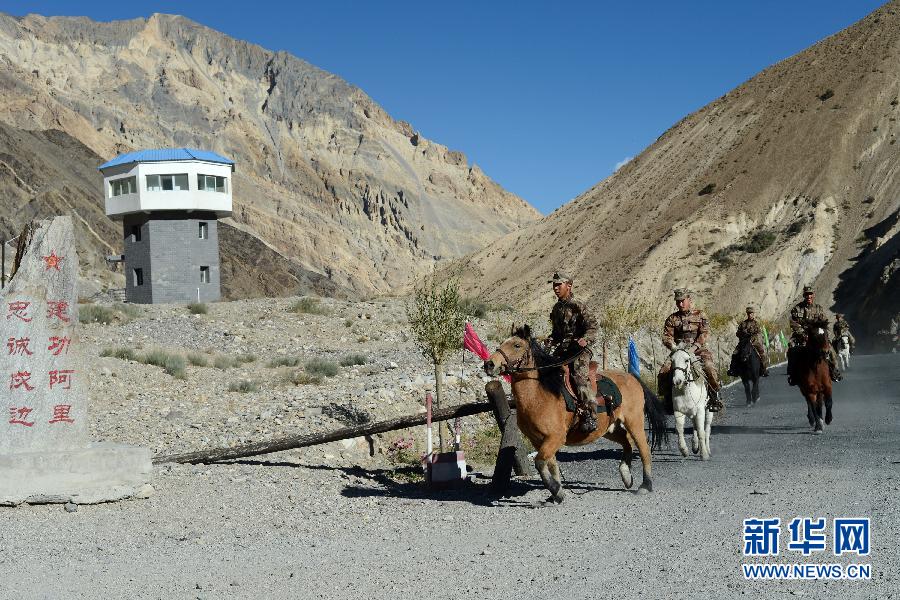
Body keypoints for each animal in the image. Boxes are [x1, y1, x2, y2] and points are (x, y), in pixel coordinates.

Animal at [486, 324, 668, 502]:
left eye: (517, 345)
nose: (489, 364)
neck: (539, 395)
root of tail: (632, 378)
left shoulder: (556, 437)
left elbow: (540, 462)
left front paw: (555, 490)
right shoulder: (539, 441)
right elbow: (551, 465)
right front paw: (557, 494)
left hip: (634, 422)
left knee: (643, 450)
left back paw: (645, 485)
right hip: (609, 429)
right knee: (626, 443)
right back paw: (626, 475)